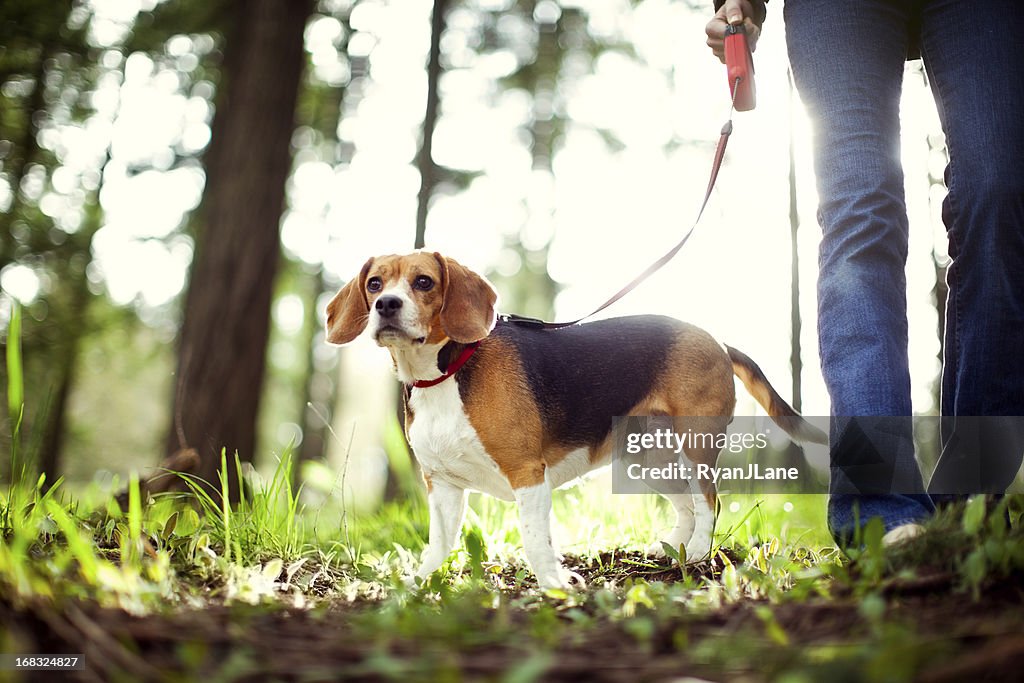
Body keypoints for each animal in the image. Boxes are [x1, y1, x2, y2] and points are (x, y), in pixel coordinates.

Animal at [325, 250, 823, 589]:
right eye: (375, 283)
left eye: (424, 281)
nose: (386, 305)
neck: (446, 371)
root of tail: (717, 340)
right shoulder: (442, 484)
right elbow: (439, 542)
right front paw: (421, 582)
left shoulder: (528, 474)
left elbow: (534, 539)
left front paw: (553, 585)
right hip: (645, 461)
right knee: (685, 502)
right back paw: (674, 550)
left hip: (694, 443)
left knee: (707, 499)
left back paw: (698, 551)